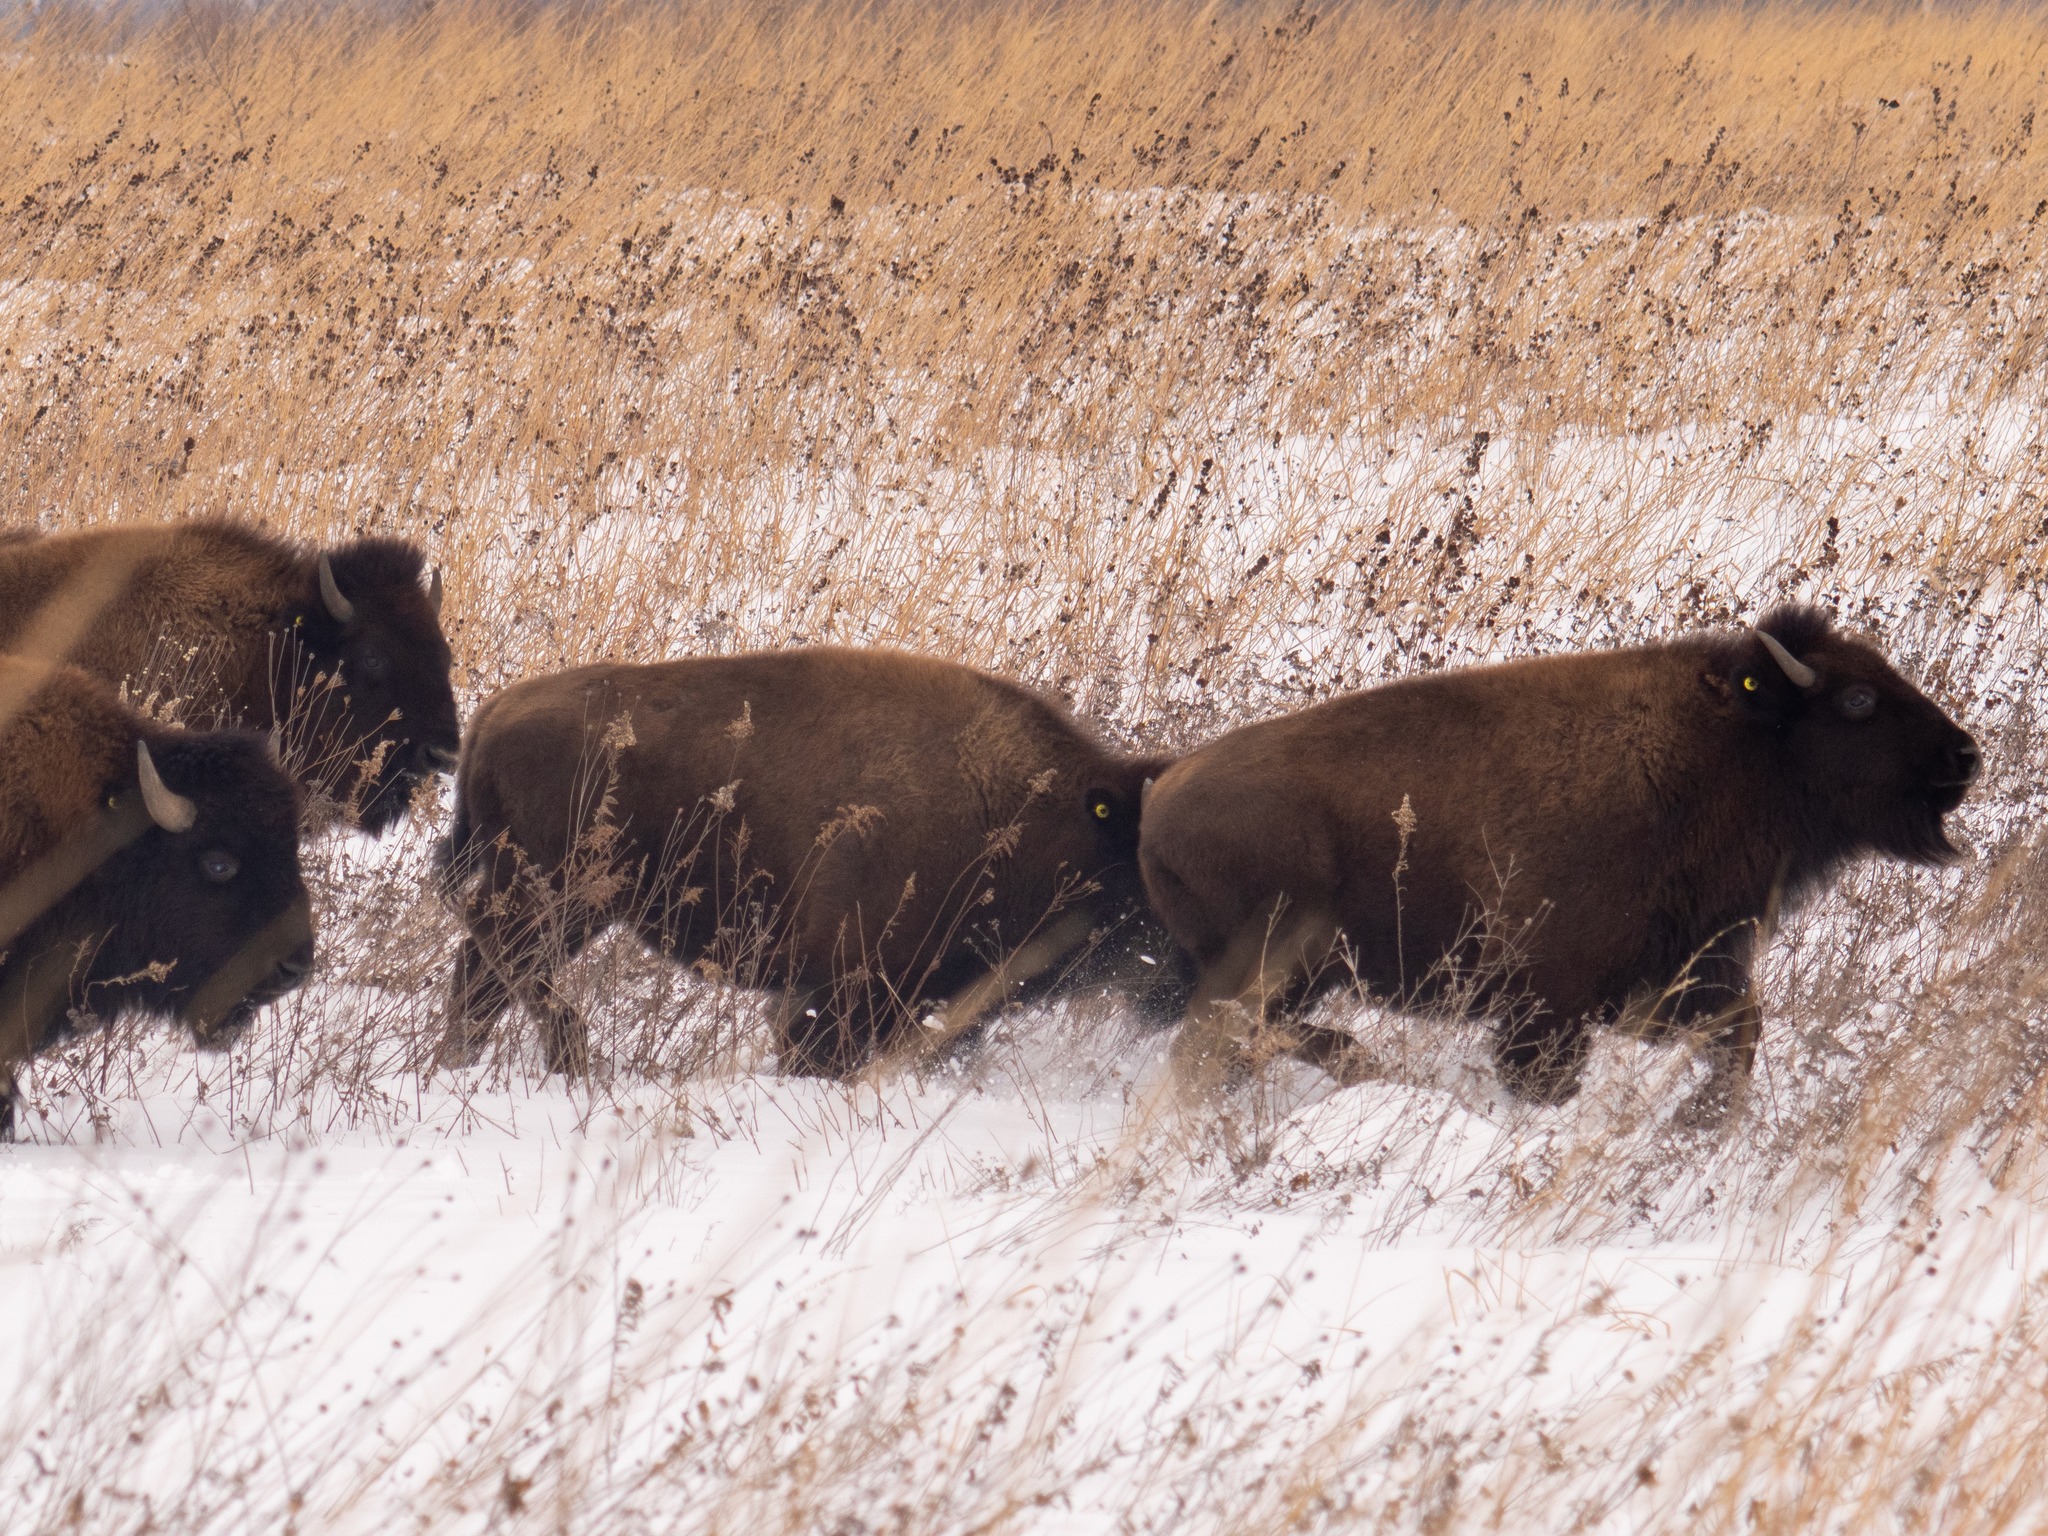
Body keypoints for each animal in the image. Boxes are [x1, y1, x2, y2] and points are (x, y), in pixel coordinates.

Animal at [438, 647, 1176, 1075]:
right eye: (1147, 877)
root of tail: (494, 713)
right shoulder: (847, 982)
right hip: (562, 892)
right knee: (499, 956)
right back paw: (568, 1058)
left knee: (485, 967)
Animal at [1138, 607, 1979, 1108]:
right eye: (1857, 701)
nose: (1964, 755)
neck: (1726, 747)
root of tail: (1157, 804)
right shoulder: (1552, 1000)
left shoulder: (1679, 973)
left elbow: (1742, 1028)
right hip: (1281, 969)